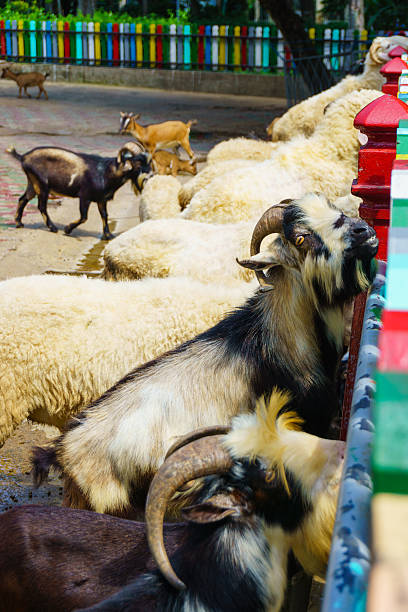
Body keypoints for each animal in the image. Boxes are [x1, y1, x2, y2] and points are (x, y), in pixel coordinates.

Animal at [6, 142, 151, 240]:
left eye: (148, 161)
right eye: (138, 161)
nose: (149, 175)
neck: (105, 172)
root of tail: (23, 157)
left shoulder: (101, 200)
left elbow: (105, 215)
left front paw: (108, 235)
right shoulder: (84, 197)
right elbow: (84, 217)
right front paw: (67, 229)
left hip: (32, 183)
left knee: (23, 199)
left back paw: (19, 223)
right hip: (42, 185)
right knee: (41, 206)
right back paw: (53, 228)